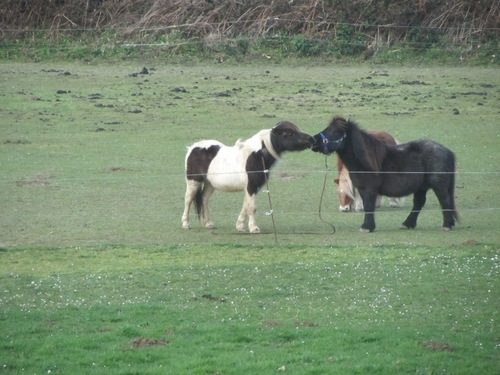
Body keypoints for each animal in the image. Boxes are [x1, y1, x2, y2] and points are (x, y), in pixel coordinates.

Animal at [182, 123, 314, 234]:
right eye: (288, 133)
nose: (311, 139)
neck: (257, 155)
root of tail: (192, 148)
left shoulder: (252, 188)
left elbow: (246, 206)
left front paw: (240, 226)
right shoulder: (251, 187)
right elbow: (252, 207)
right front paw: (254, 228)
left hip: (210, 184)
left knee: (204, 199)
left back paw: (208, 224)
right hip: (194, 181)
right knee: (188, 200)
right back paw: (185, 224)